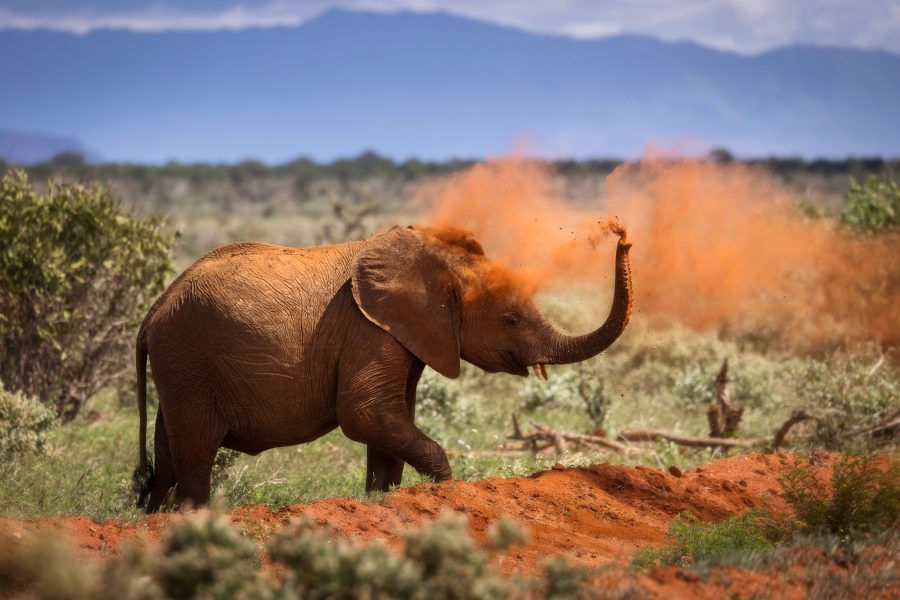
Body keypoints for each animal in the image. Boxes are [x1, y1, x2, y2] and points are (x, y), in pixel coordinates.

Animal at [134, 224, 633, 512]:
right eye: (510, 319)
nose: (623, 237)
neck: (440, 264)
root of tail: (153, 310)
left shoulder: (403, 336)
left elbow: (388, 424)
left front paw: (384, 500)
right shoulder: (368, 331)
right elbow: (366, 415)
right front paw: (444, 492)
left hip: (179, 366)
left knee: (168, 451)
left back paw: (155, 519)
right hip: (188, 357)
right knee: (196, 453)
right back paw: (195, 521)